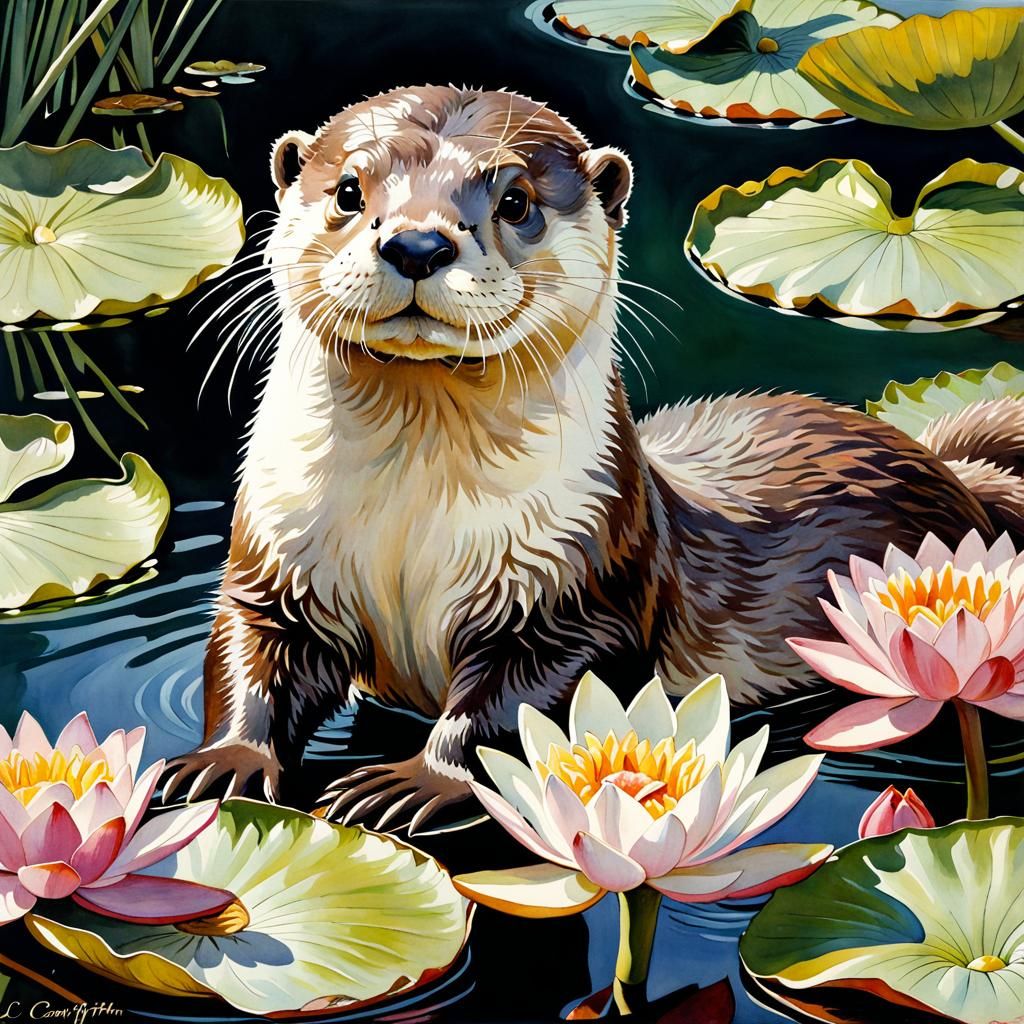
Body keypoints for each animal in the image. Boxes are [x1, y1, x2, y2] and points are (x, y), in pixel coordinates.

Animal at [163, 84, 1024, 833]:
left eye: (515, 201)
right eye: (348, 190)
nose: (416, 242)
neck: (410, 537)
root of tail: (961, 480)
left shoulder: (581, 586)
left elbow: (513, 706)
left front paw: (415, 781)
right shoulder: (278, 559)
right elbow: (247, 655)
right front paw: (224, 762)